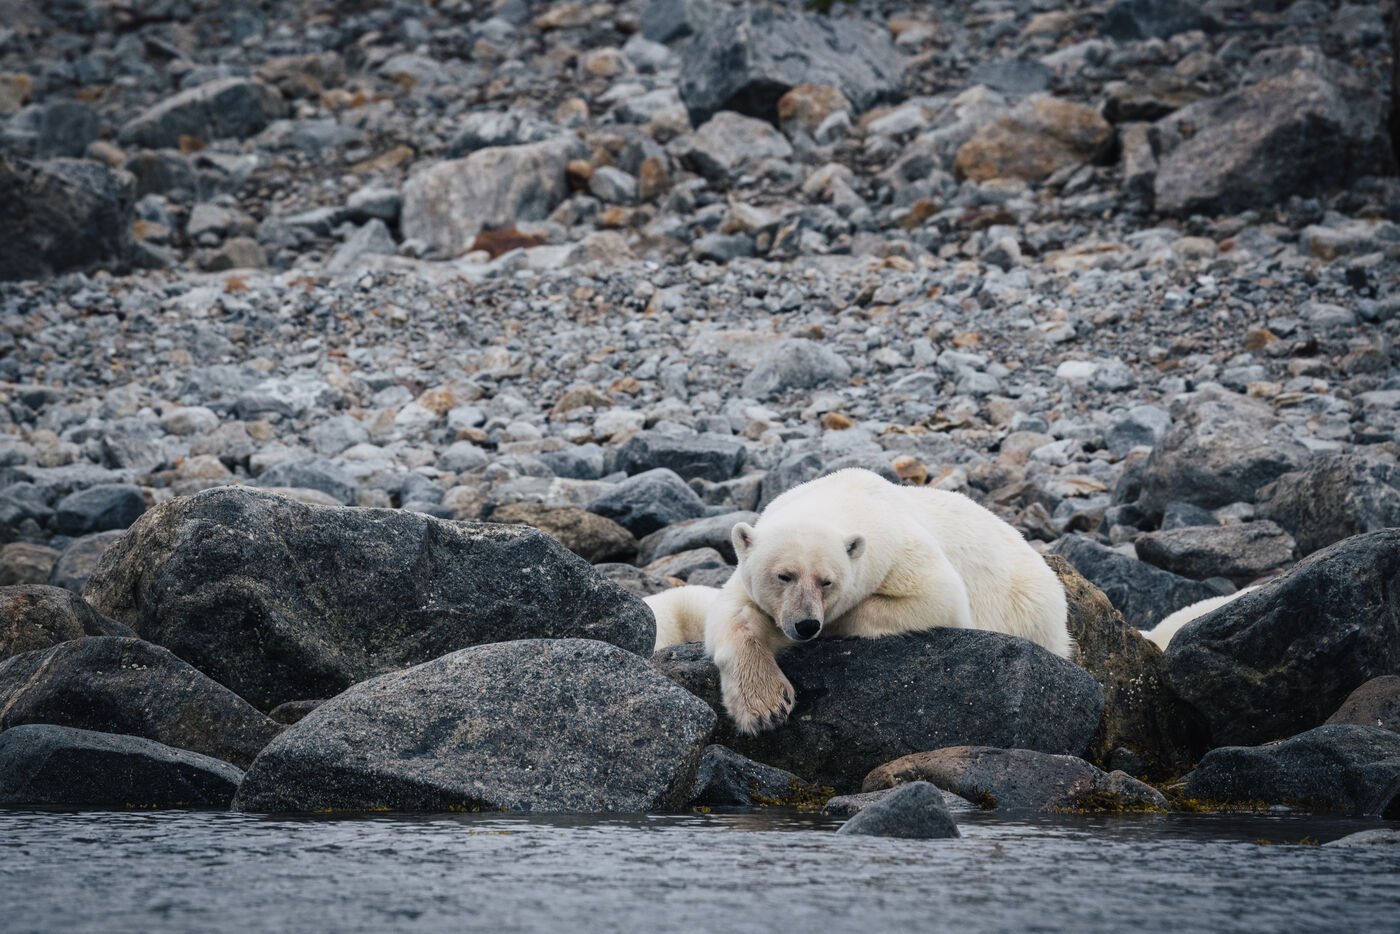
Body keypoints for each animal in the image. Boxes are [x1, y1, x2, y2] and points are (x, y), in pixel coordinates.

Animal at [700, 467, 1072, 735]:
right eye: (784, 575)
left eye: (826, 581)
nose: (805, 624)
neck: (843, 496)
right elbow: (733, 613)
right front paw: (764, 706)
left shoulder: (901, 551)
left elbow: (940, 596)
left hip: (1030, 605)